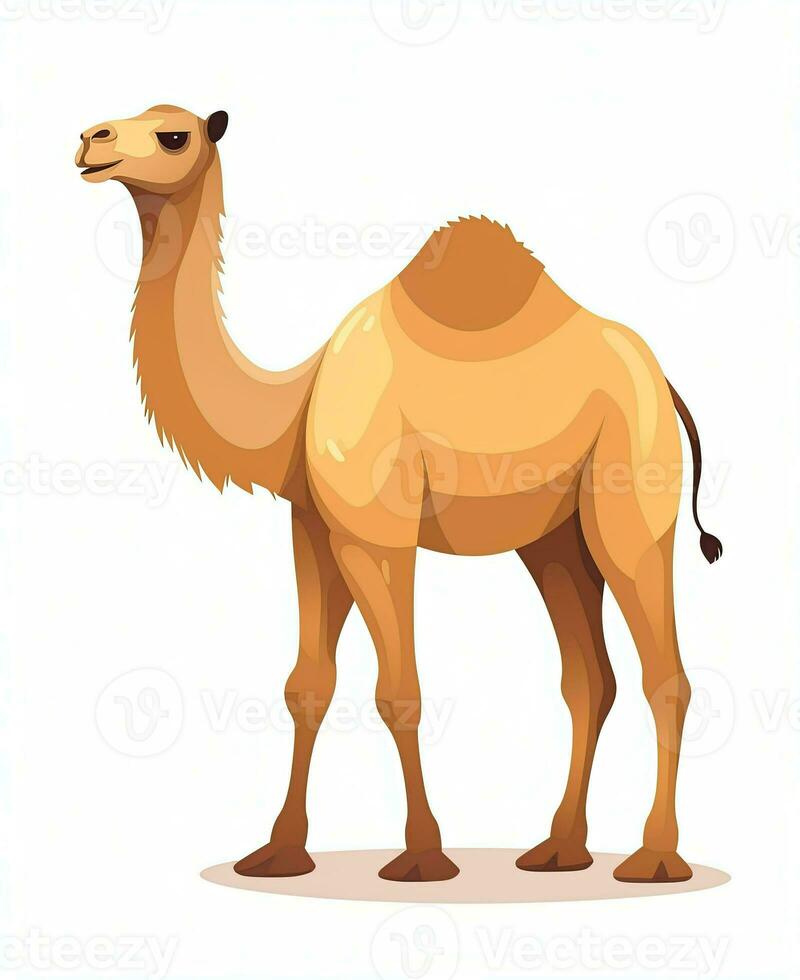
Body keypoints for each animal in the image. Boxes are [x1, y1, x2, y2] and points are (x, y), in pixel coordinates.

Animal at [76, 105, 722, 885]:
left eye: (175, 135)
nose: (91, 141)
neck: (292, 407)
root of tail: (665, 382)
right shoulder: (313, 527)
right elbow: (307, 684)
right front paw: (278, 852)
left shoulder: (378, 533)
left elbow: (398, 690)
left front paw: (422, 856)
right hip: (554, 538)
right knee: (590, 677)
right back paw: (559, 849)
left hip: (631, 492)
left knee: (666, 673)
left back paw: (655, 858)